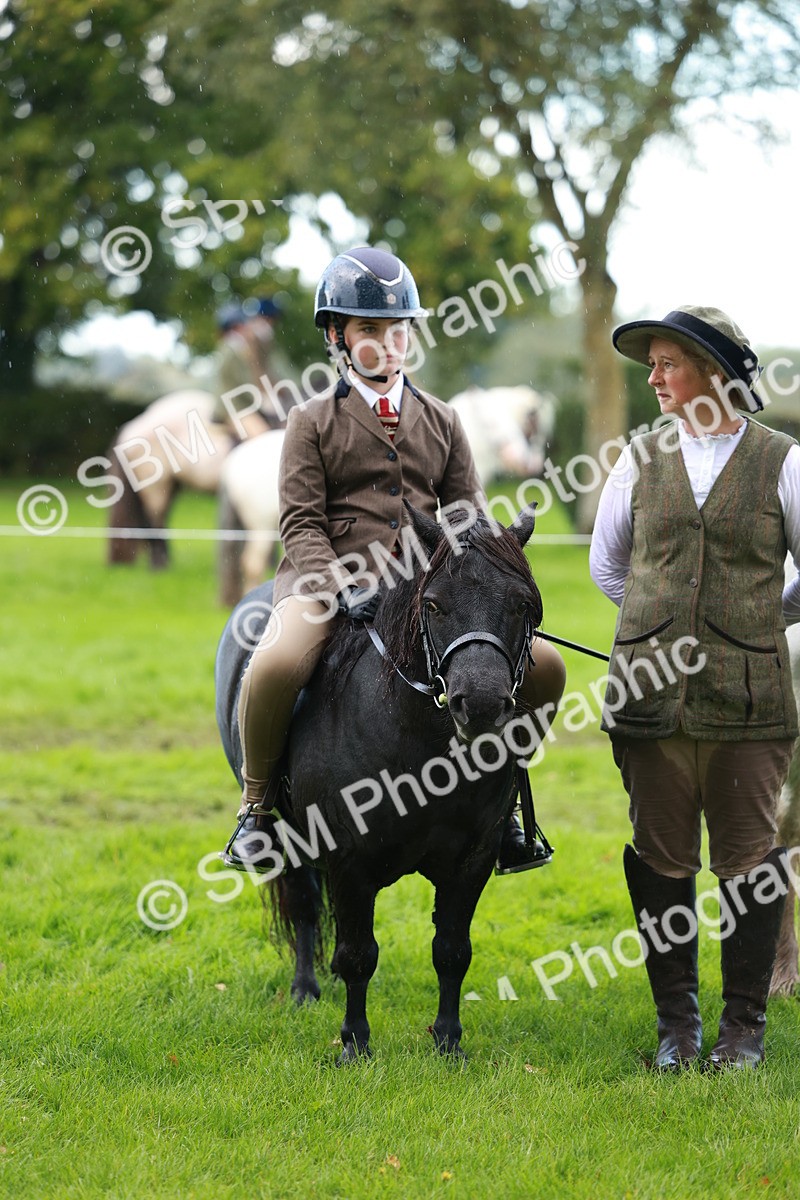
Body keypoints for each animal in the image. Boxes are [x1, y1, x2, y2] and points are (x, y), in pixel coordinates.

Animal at [215, 504, 543, 1062]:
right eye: (433, 603)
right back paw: (305, 989)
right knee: (304, 905)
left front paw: (448, 1042)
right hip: (285, 833)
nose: (479, 704)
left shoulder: (472, 859)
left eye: (523, 603)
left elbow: (452, 950)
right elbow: (356, 954)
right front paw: (354, 1044)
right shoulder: (349, 859)